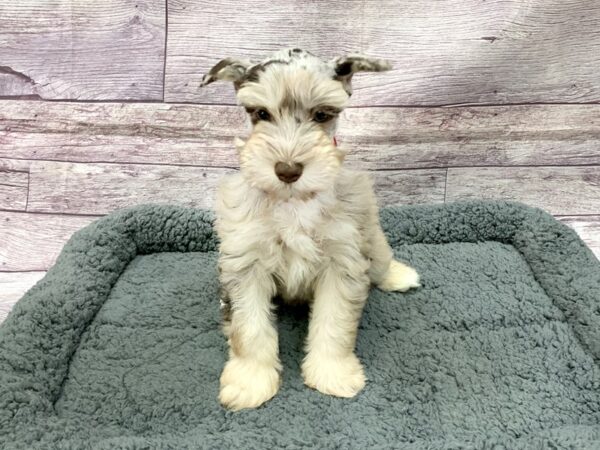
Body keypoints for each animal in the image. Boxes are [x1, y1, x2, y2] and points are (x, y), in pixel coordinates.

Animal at [199, 48, 420, 412]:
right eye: (261, 113)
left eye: (321, 114)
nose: (287, 169)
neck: (293, 201)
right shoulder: (245, 265)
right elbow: (249, 328)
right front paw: (250, 382)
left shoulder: (343, 261)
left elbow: (334, 323)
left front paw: (333, 374)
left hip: (370, 236)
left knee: (380, 260)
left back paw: (399, 275)